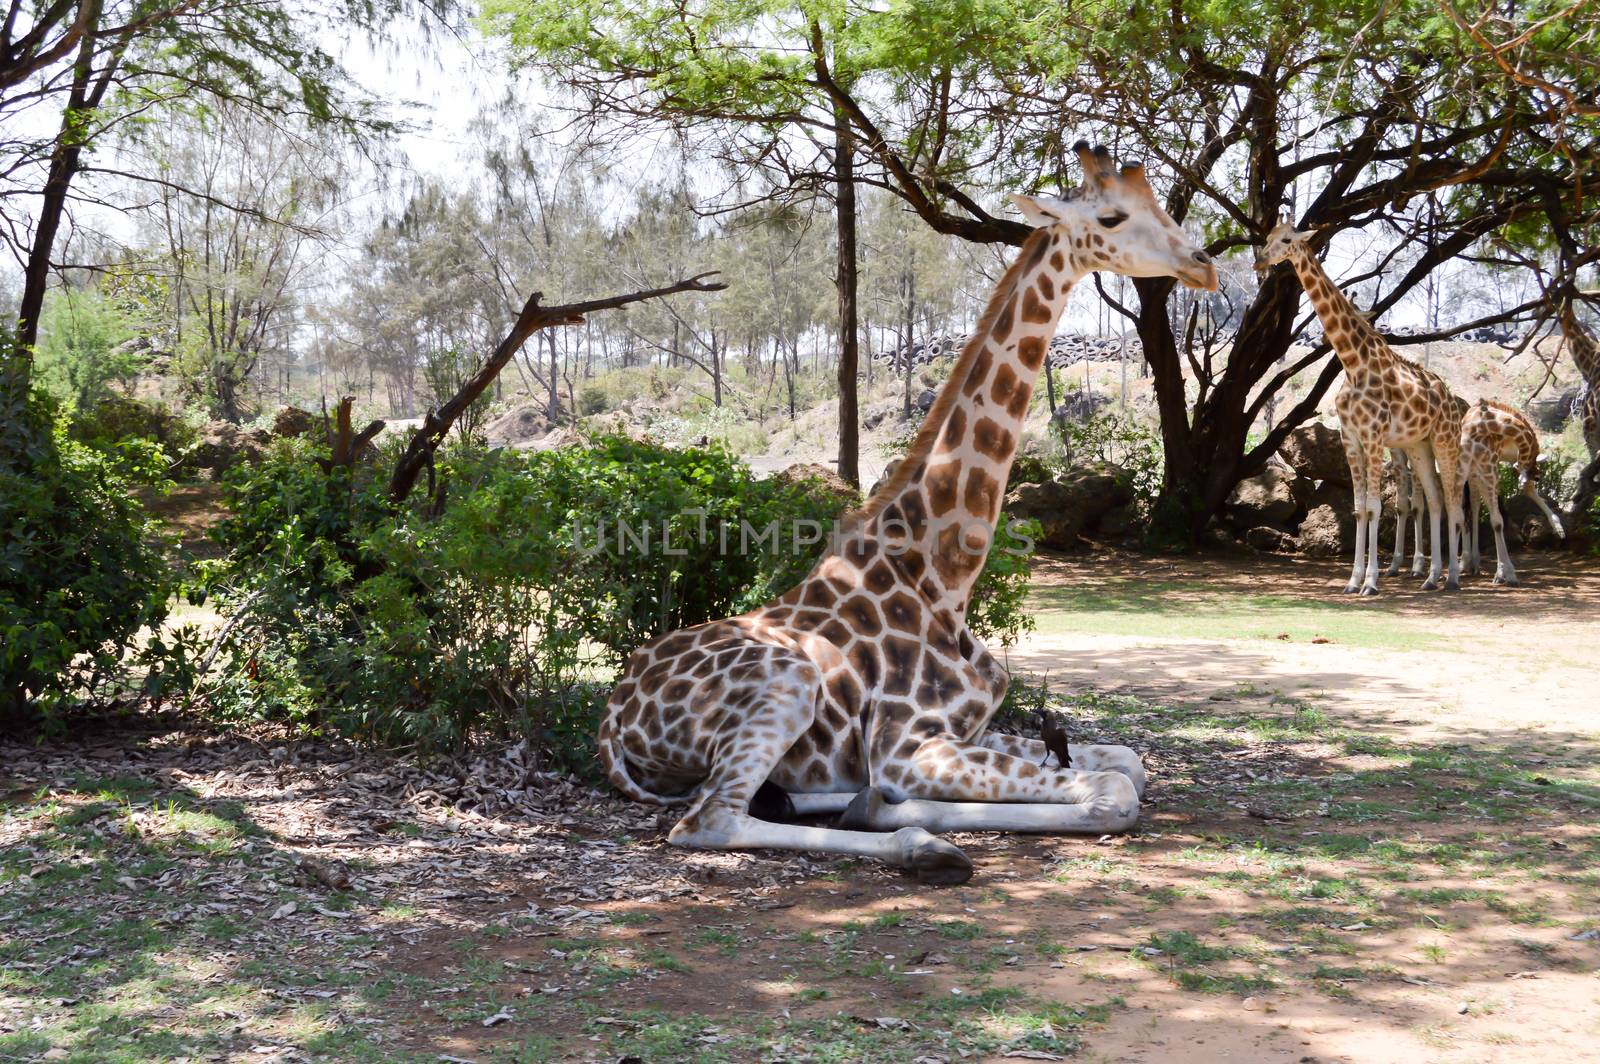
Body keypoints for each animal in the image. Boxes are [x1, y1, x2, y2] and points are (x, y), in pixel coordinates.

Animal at [595, 145, 1216, 883]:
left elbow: (1129, 761)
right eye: (1112, 217)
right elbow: (1113, 791)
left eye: (1162, 207)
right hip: (786, 681)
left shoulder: (969, 730)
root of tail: (611, 719)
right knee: (708, 819)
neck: (943, 577)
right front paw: (903, 816)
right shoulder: (908, 745)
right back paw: (919, 845)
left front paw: (876, 804)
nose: (1203, 263)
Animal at [1254, 219, 1465, 592]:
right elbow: (1358, 509)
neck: (1353, 362)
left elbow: (1376, 507)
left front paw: (1371, 581)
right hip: (1419, 445)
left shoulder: (1374, 437)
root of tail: (1450, 395)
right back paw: (1431, 577)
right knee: (1436, 500)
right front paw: (1353, 580)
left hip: (1445, 441)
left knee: (1454, 500)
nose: (1260, 261)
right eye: (1267, 238)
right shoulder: (1351, 439)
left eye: (1287, 239)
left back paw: (1453, 577)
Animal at [1459, 396, 1568, 585]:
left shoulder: (1496, 463)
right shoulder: (1491, 465)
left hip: (1476, 470)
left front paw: (1558, 528)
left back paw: (1472, 563)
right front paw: (1505, 573)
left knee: (1472, 504)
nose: (1537, 475)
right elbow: (1496, 520)